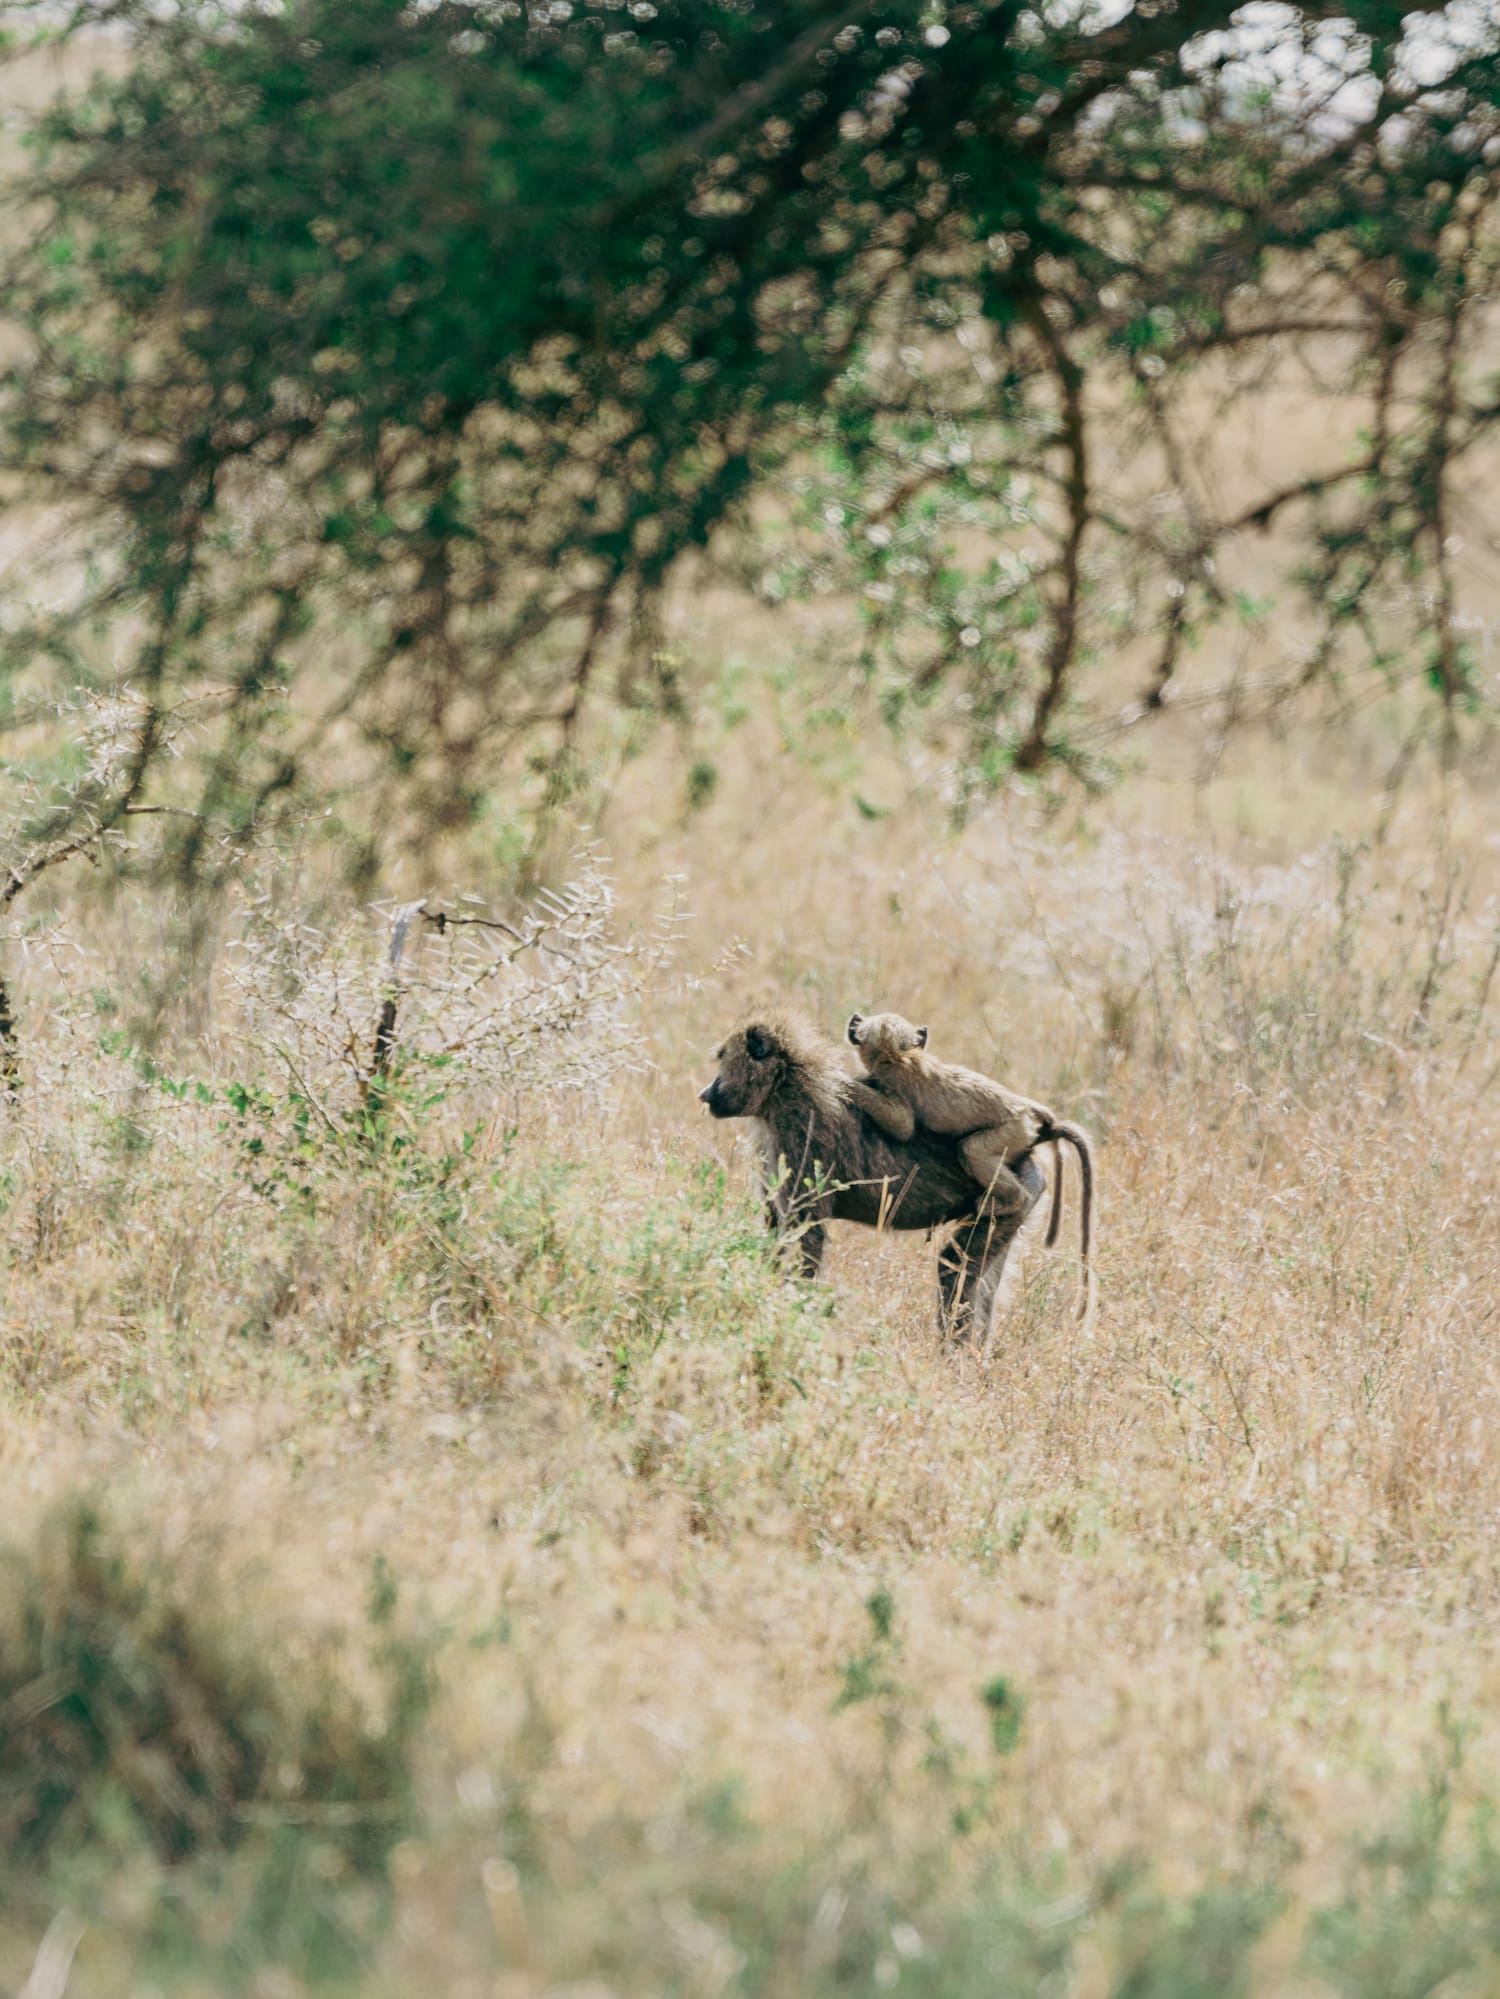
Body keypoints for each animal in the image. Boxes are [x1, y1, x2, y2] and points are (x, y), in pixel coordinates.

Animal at [698, 1010, 1046, 1343]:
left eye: (723, 1058)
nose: (704, 1094)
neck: (784, 1086)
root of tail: (1028, 1154)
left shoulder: (801, 1135)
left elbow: (808, 1235)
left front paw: (793, 1313)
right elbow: (776, 1230)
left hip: (1005, 1196)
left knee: (954, 1270)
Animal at [846, 1010, 1096, 1326]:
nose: (855, 1017)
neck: (899, 1056)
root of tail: (1028, 1110)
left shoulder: (890, 1082)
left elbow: (902, 1126)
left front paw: (850, 1084)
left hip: (1012, 1130)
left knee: (972, 1150)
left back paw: (1007, 1201)